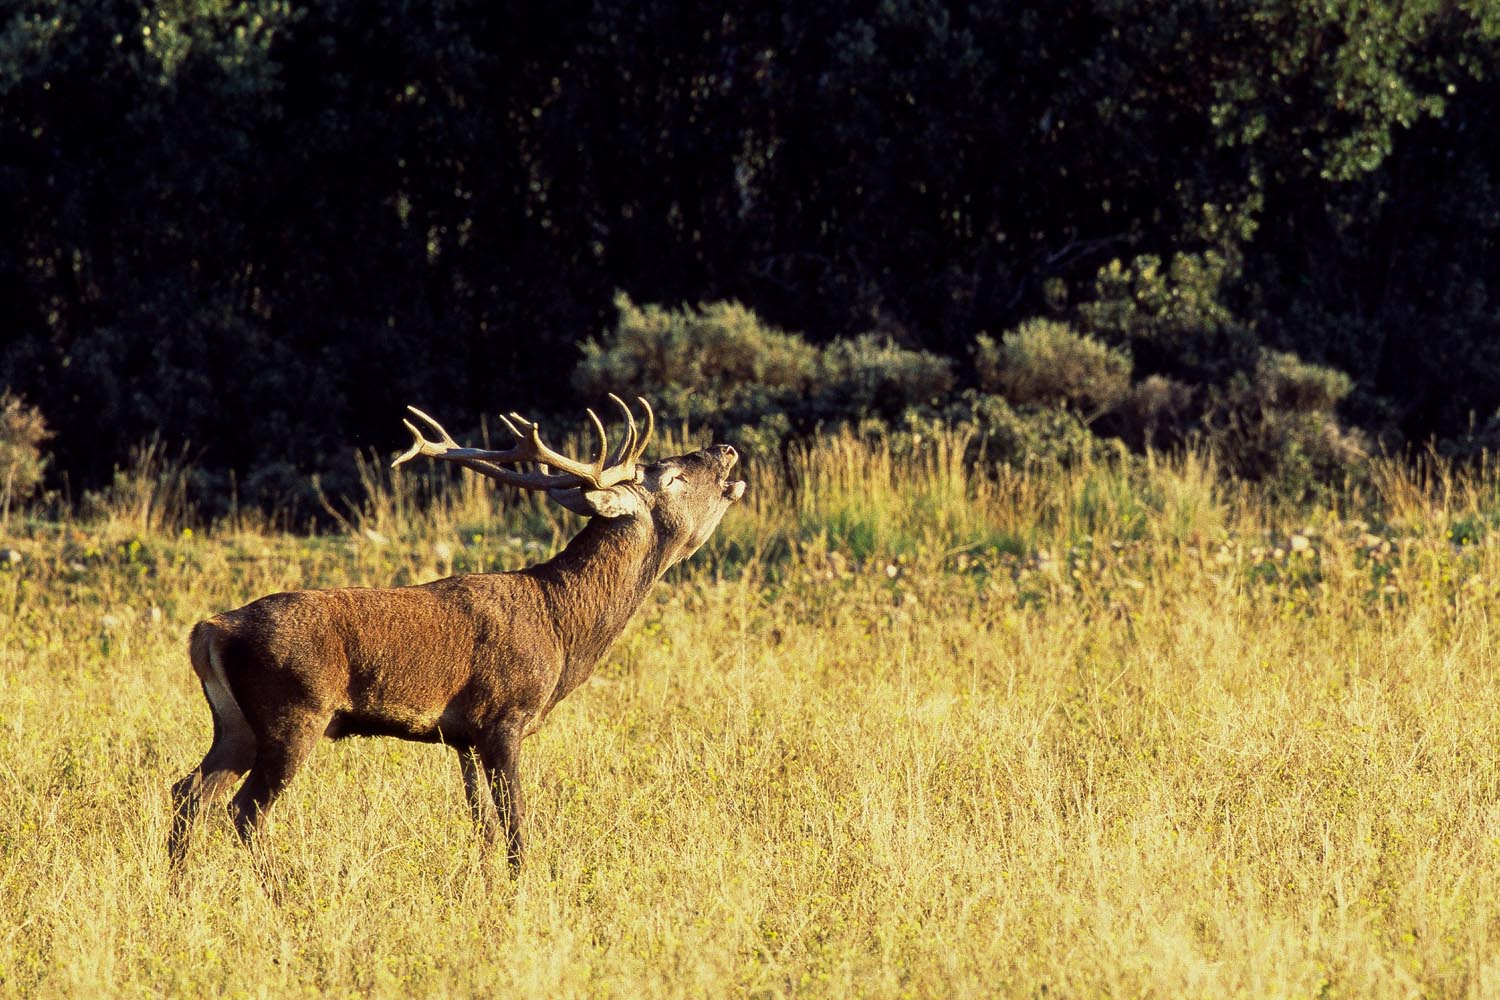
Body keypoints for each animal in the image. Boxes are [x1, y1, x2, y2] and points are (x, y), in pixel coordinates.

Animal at [168, 395, 744, 869]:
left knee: (189, 793)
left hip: (236, 724)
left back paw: (183, 892)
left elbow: (483, 828)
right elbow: (515, 829)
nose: (726, 450)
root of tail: (209, 630)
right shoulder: (504, 716)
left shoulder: (461, 736)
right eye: (670, 477)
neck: (563, 630)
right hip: (293, 710)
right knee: (245, 811)